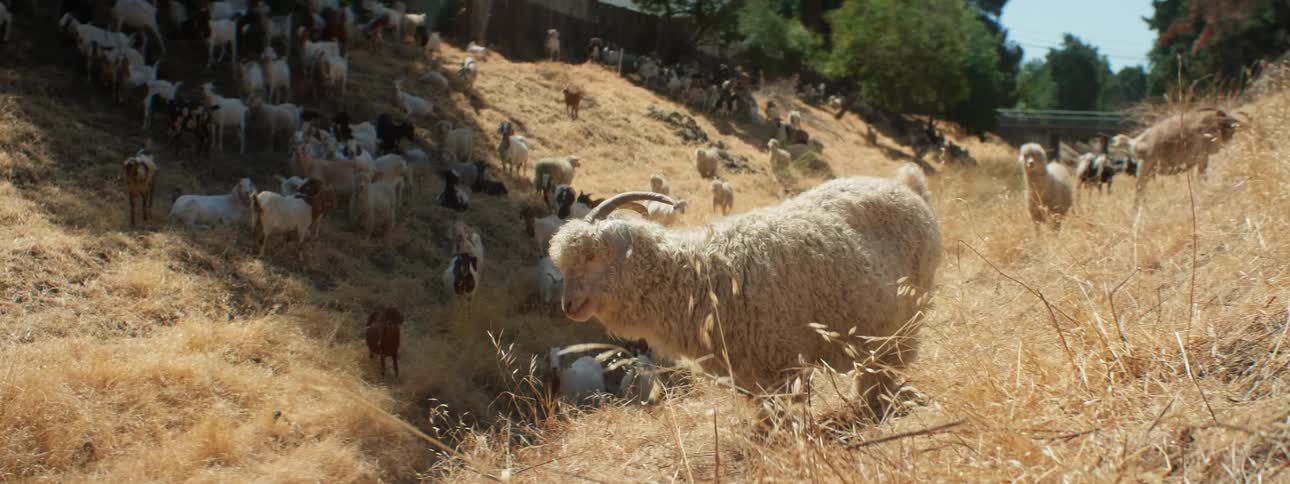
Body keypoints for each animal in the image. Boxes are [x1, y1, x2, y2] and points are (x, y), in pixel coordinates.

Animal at [546, 164, 942, 415]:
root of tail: (908, 188)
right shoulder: (752, 373)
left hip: (910, 314)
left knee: (887, 363)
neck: (700, 277)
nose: (568, 305)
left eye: (592, 256)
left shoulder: (783, 363)